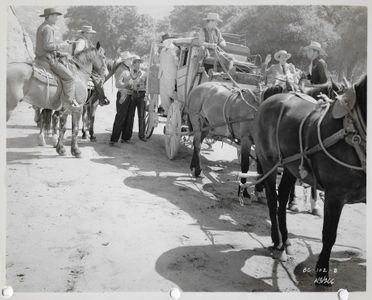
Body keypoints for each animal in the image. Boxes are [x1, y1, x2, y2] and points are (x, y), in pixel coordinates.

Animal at [253, 75, 366, 286]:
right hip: (268, 161)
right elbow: (329, 235)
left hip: (290, 166)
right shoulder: (335, 195)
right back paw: (277, 241)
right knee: (272, 199)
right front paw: (322, 274)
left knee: (282, 197)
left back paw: (286, 239)